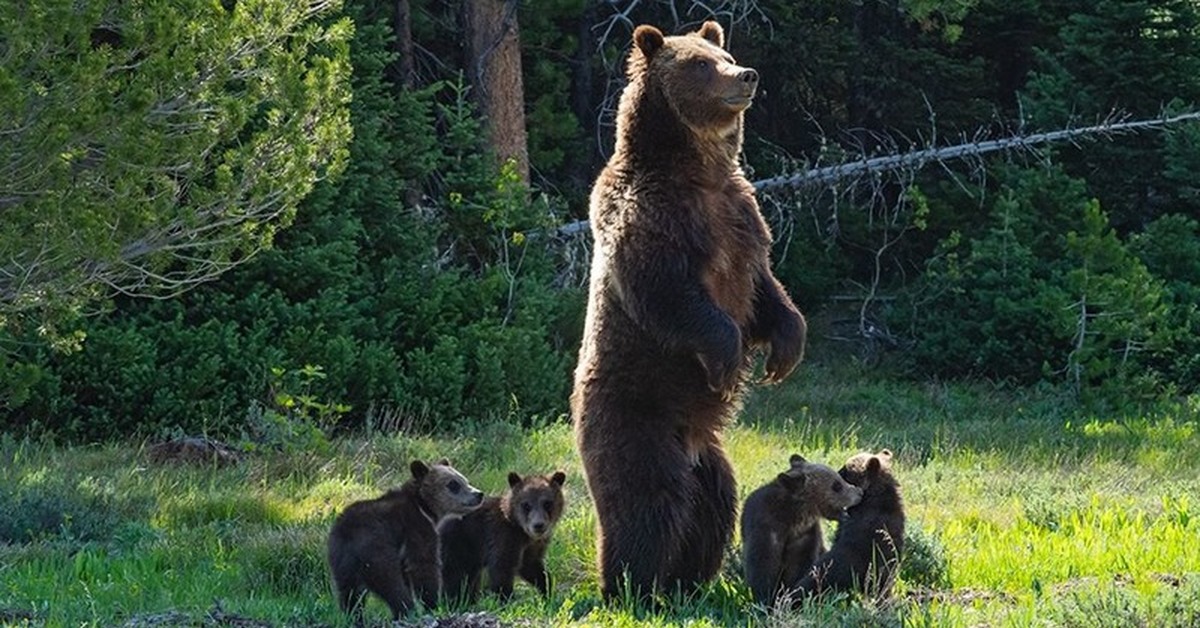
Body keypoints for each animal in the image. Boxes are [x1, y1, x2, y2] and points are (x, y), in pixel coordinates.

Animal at [328, 458, 482, 619]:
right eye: (453, 484)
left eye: (464, 480)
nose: (478, 494)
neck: (424, 506)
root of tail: (349, 534)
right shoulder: (415, 528)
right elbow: (423, 565)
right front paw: (432, 604)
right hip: (376, 551)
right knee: (392, 585)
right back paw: (406, 611)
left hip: (341, 561)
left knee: (349, 593)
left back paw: (354, 615)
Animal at [441, 468, 566, 602]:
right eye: (526, 505)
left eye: (547, 503)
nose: (538, 525)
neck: (521, 531)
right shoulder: (501, 536)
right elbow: (502, 569)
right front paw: (507, 599)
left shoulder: (532, 546)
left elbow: (531, 566)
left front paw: (548, 591)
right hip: (454, 546)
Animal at [571, 19, 806, 600]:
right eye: (700, 64)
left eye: (726, 54)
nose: (746, 75)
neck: (699, 171)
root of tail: (689, 442)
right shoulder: (651, 217)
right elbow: (669, 294)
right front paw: (727, 359)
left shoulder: (742, 216)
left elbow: (766, 290)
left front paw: (784, 351)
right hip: (635, 417)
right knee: (647, 501)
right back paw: (630, 584)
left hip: (710, 458)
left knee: (712, 503)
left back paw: (690, 580)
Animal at [739, 456, 864, 609]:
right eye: (836, 486)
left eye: (839, 478)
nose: (859, 492)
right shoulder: (766, 530)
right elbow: (762, 569)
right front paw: (767, 601)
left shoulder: (804, 538)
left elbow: (799, 570)